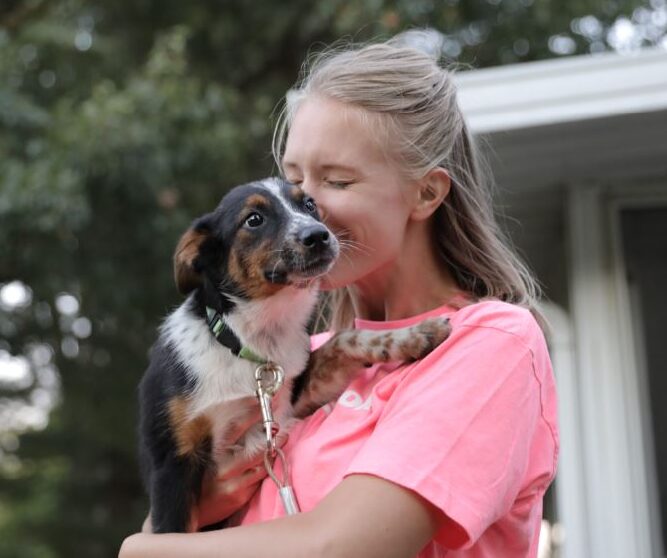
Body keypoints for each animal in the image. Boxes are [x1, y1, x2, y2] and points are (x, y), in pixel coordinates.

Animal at [140, 178, 454, 532]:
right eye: (253, 219)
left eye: (309, 204)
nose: (318, 235)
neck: (252, 343)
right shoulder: (171, 464)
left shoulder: (292, 400)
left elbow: (343, 338)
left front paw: (415, 334)